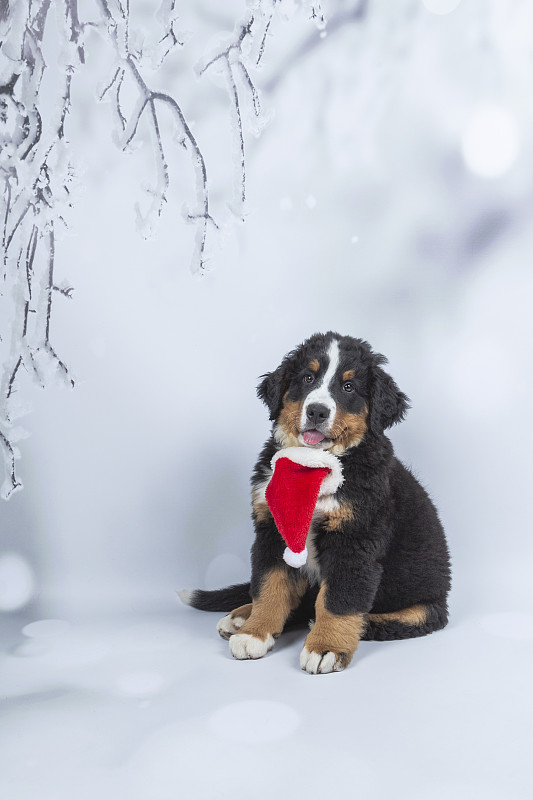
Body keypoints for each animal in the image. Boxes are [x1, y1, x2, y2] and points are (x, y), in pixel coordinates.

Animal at [181, 332, 450, 676]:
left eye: (348, 387)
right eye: (308, 378)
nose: (318, 411)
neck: (312, 465)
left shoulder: (355, 540)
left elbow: (338, 600)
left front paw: (326, 647)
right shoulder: (273, 529)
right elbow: (269, 586)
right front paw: (256, 632)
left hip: (426, 604)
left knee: (401, 615)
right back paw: (242, 616)